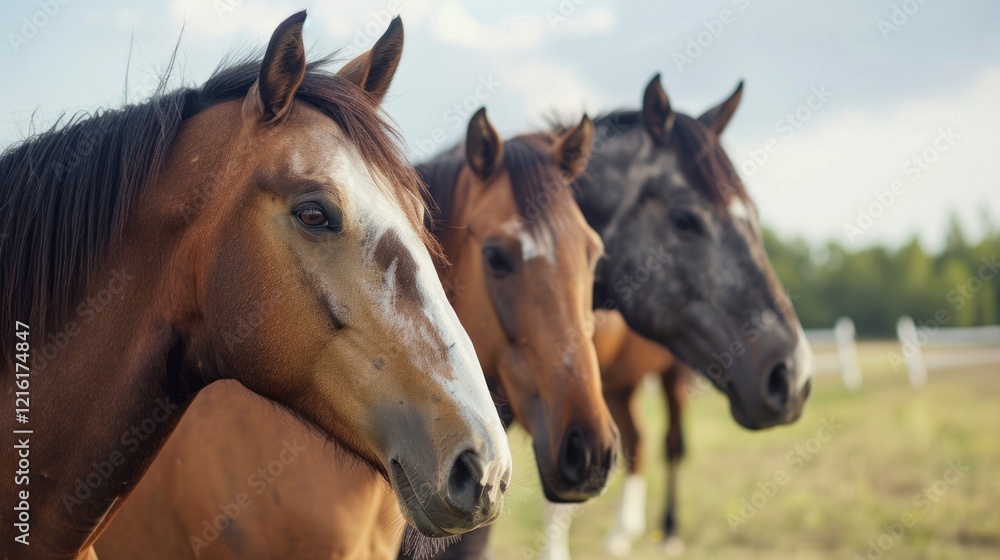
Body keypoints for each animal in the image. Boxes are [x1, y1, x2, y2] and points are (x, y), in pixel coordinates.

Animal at [538, 75, 816, 560]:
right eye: (685, 219)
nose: (793, 377)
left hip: (669, 379)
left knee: (666, 446)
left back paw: (666, 530)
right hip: (621, 385)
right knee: (639, 441)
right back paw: (623, 532)